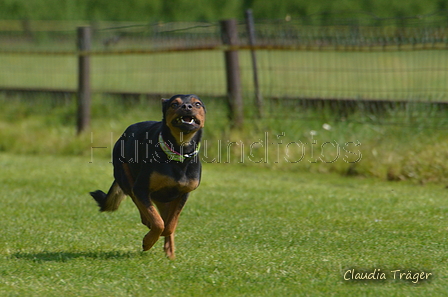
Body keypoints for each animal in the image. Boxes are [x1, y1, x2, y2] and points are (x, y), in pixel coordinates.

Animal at [91, 93, 206, 258]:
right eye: (174, 104)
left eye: (197, 104)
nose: (186, 106)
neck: (178, 152)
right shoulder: (141, 188)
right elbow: (158, 222)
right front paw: (148, 241)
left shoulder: (183, 193)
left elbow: (170, 224)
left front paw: (165, 243)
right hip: (125, 175)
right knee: (138, 201)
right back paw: (147, 222)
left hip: (163, 198)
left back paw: (169, 251)